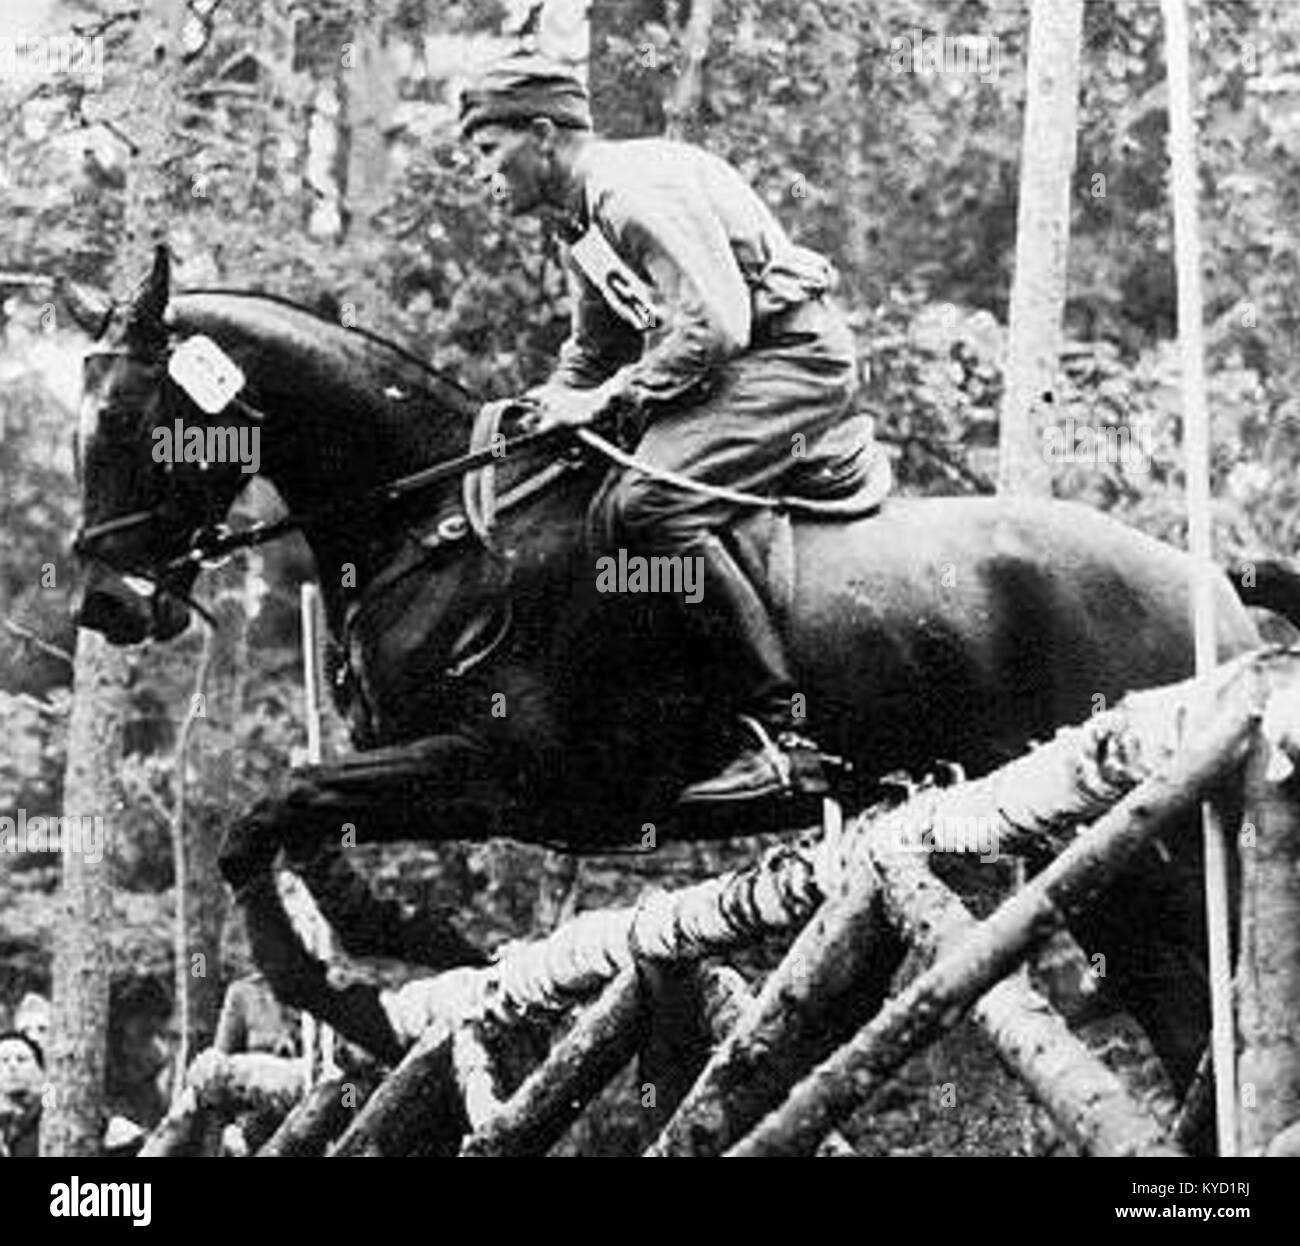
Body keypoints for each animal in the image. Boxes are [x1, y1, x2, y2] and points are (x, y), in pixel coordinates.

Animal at [71, 250, 1299, 1129]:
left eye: (129, 423)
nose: (106, 604)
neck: (438, 523)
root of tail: (1210, 585)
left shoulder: (508, 775)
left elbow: (272, 812)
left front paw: (355, 1005)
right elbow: (287, 833)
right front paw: (395, 981)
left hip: (1155, 841)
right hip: (1096, 856)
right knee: (1185, 1015)